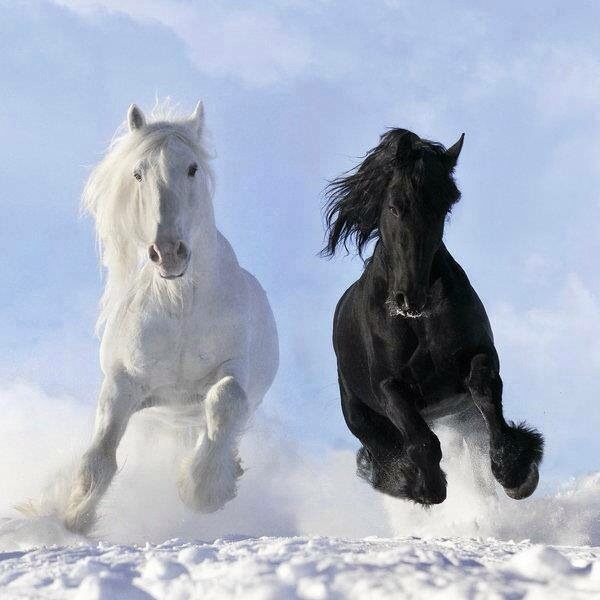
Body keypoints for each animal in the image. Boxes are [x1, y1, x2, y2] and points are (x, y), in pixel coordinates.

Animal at [64, 102, 279, 534]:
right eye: (138, 172)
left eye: (192, 167)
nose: (168, 253)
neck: (179, 306)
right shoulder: (123, 383)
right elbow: (99, 457)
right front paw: (73, 517)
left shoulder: (236, 371)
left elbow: (226, 401)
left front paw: (202, 491)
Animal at [322, 129, 544, 506]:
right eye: (394, 206)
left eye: (443, 207)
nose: (409, 297)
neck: (416, 322)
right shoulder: (389, 387)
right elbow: (421, 442)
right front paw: (423, 486)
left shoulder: (478, 355)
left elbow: (486, 394)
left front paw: (516, 472)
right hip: (361, 416)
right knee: (384, 451)